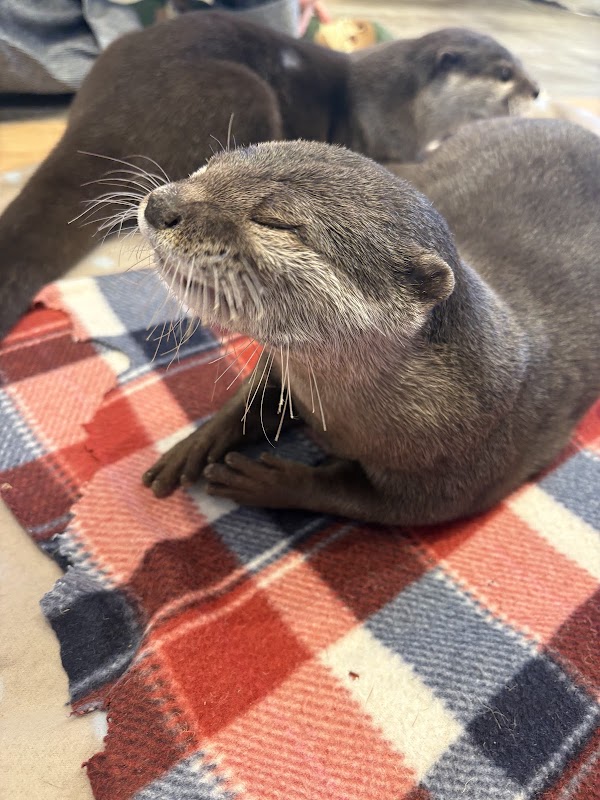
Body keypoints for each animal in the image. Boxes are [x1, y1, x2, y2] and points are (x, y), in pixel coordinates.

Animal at [0, 12, 539, 337]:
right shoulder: (379, 139)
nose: (536, 90)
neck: (398, 106)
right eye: (504, 72)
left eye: (519, 65)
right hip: (241, 90)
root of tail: (100, 117)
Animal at [138, 119, 599, 526]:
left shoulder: (459, 478)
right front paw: (193, 446)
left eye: (276, 221)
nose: (160, 204)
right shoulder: (283, 367)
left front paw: (266, 481)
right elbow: (249, 395)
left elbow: (365, 501)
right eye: (210, 165)